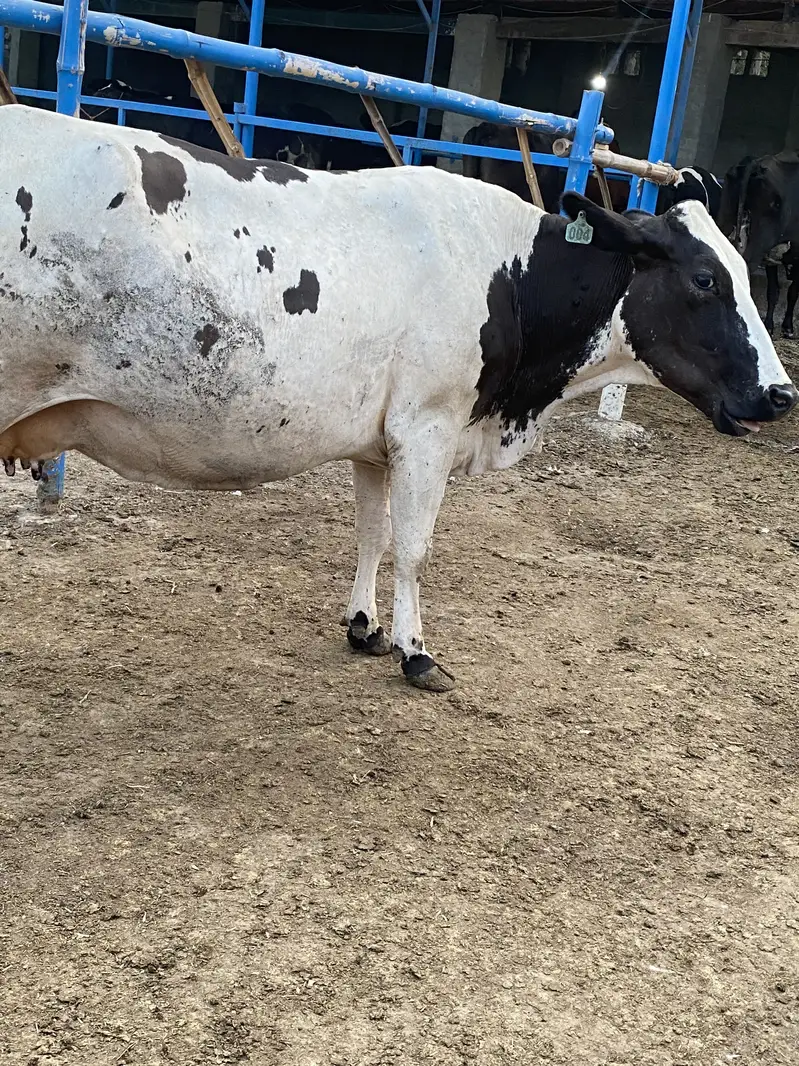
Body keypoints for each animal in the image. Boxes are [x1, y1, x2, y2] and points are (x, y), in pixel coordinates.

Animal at [1, 106, 796, 691]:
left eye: (741, 269)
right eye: (704, 279)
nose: (781, 392)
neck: (509, 275)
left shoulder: (376, 440)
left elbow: (372, 536)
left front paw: (365, 627)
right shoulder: (428, 427)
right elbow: (414, 547)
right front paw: (416, 651)